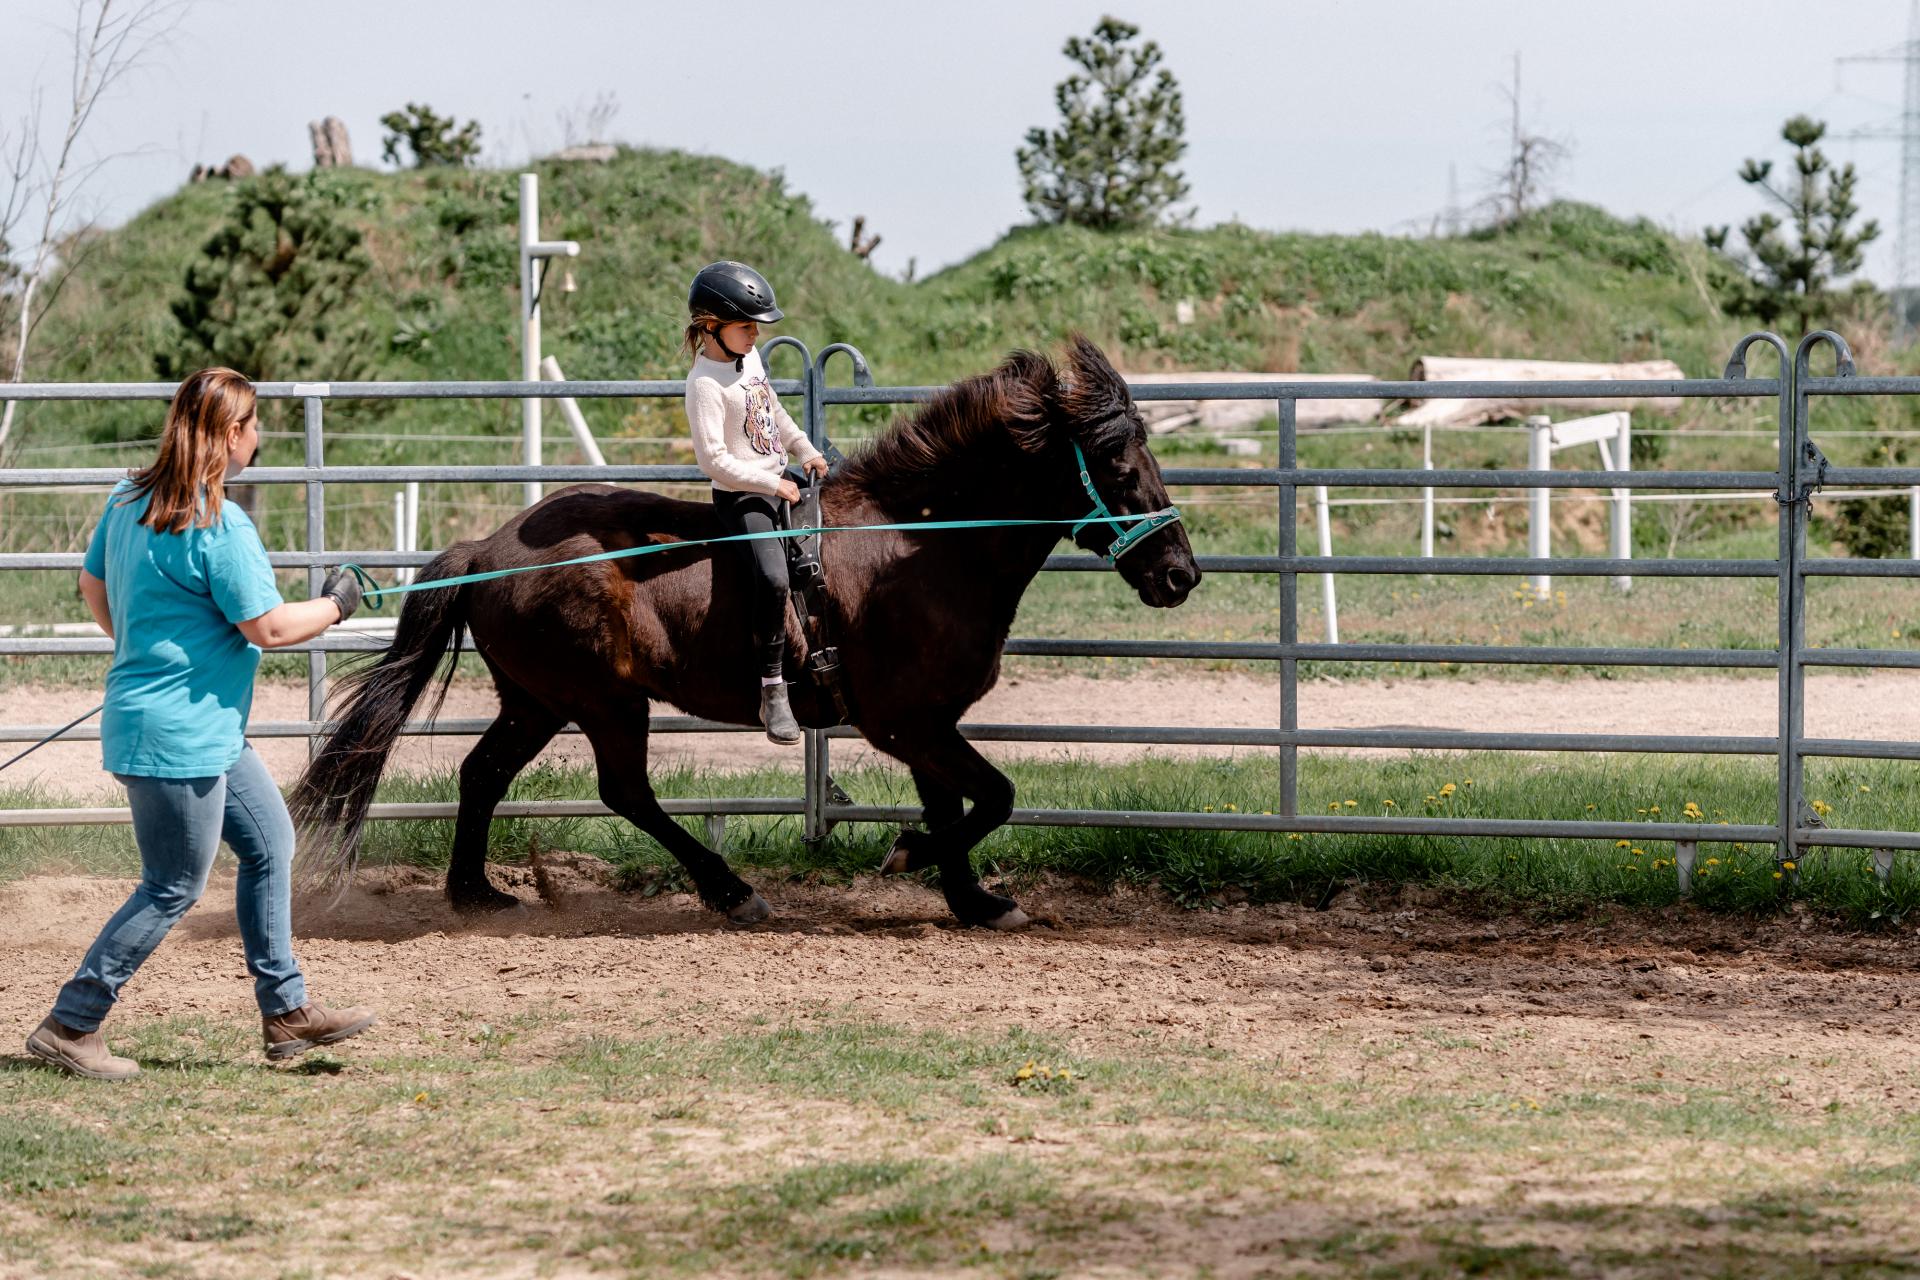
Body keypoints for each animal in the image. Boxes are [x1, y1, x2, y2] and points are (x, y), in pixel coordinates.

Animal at [289, 335, 1198, 924]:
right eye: (1120, 467)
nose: (1180, 574)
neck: (920, 548)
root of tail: (486, 548)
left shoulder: (926, 724)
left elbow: (958, 804)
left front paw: (972, 899)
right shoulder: (907, 723)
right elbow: (993, 797)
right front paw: (909, 856)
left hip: (536, 701)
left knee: (482, 774)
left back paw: (475, 893)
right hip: (603, 702)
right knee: (626, 793)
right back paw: (729, 890)